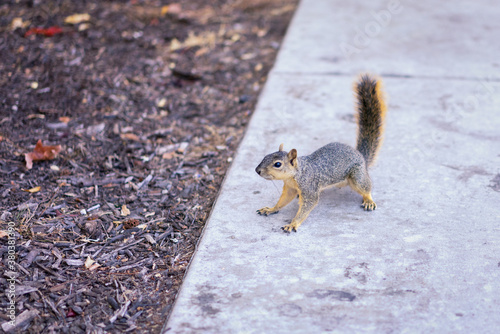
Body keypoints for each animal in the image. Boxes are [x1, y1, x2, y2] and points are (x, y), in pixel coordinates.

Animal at [254, 73, 386, 232]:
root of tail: (361, 156)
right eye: (265, 156)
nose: (257, 170)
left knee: (365, 187)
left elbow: (307, 206)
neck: (296, 174)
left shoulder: (309, 188)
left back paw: (368, 200)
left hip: (357, 175)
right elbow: (283, 201)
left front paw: (293, 224)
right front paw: (271, 209)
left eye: (277, 164)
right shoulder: (290, 188)